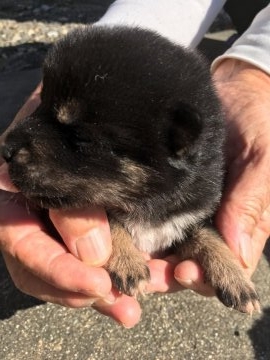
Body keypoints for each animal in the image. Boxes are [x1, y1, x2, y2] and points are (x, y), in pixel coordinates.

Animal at [1, 24, 260, 312]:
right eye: (40, 103)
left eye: (81, 137)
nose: (6, 149)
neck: (144, 200)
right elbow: (111, 221)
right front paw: (128, 263)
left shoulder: (192, 214)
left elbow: (210, 236)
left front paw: (236, 279)